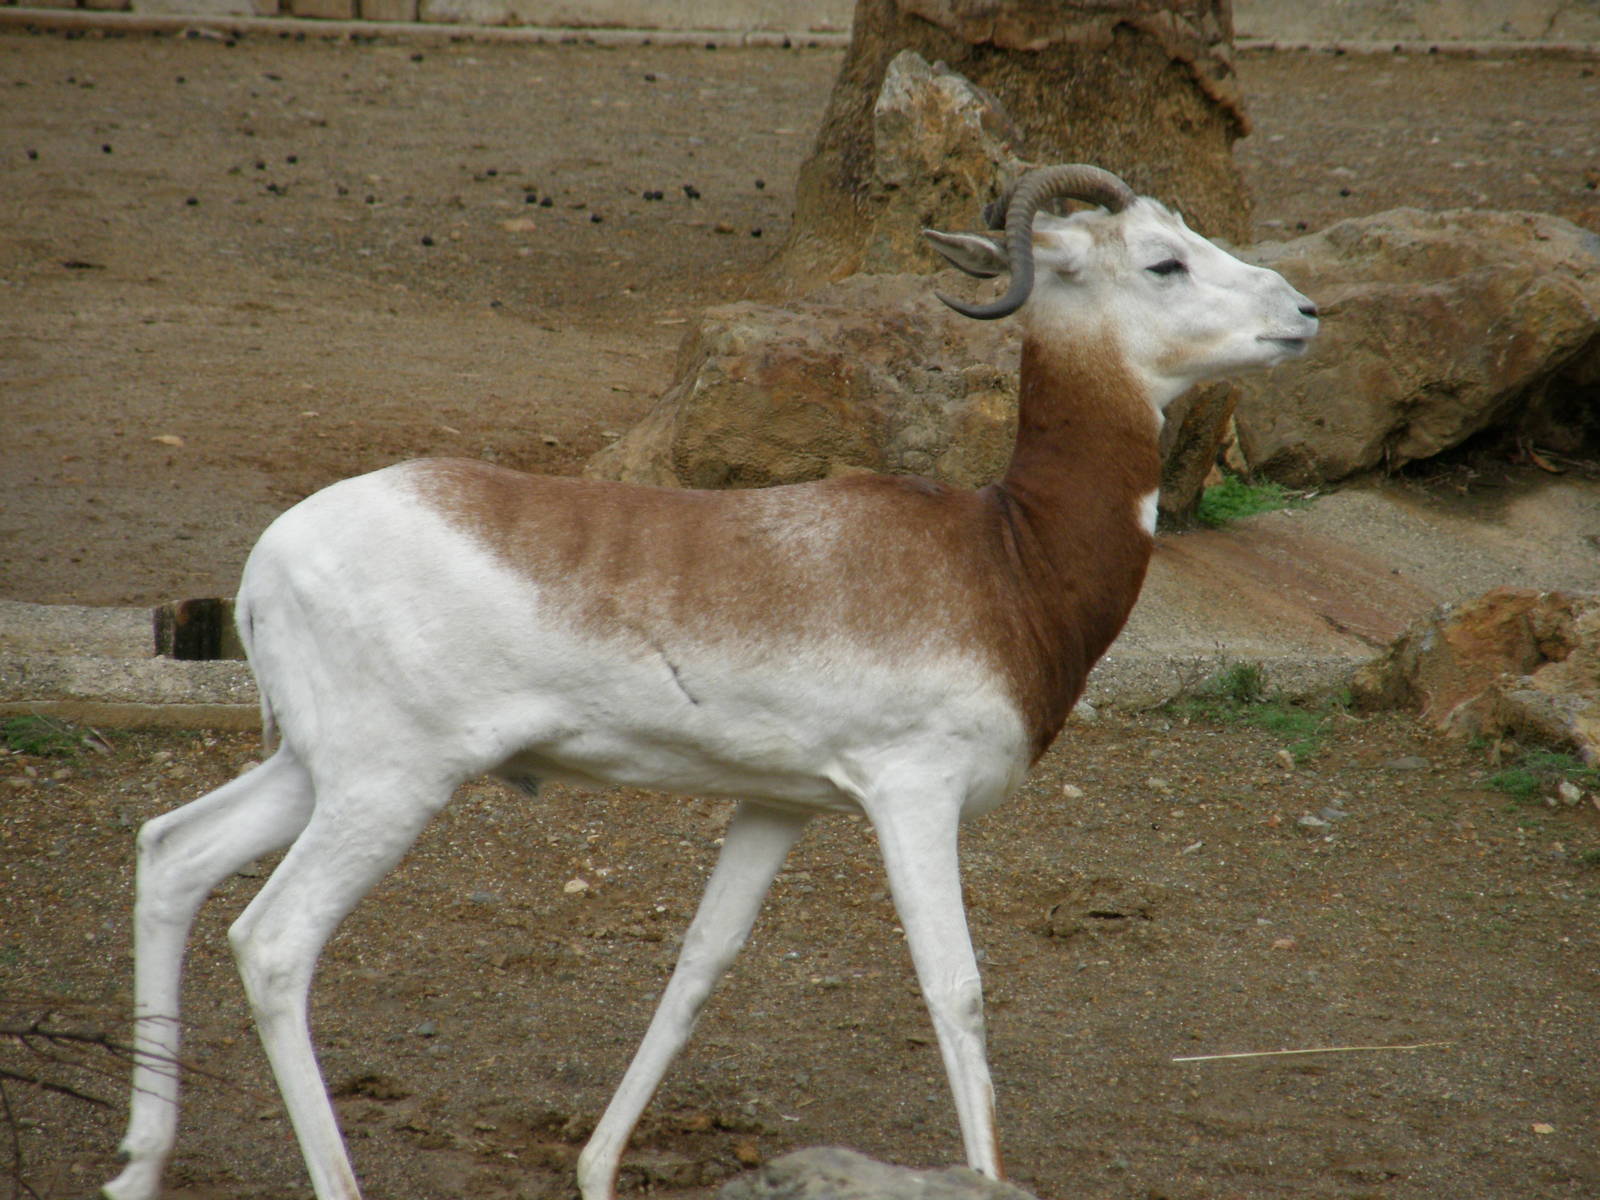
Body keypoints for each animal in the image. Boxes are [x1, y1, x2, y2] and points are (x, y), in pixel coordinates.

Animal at [104, 164, 1318, 1200]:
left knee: (172, 853)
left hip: (312, 770)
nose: (1303, 312)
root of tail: (270, 555)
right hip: (387, 784)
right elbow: (956, 990)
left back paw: (137, 1167)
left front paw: (596, 1167)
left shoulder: (777, 805)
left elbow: (698, 967)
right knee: (273, 944)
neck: (1000, 557)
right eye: (1164, 260)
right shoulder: (912, 796)